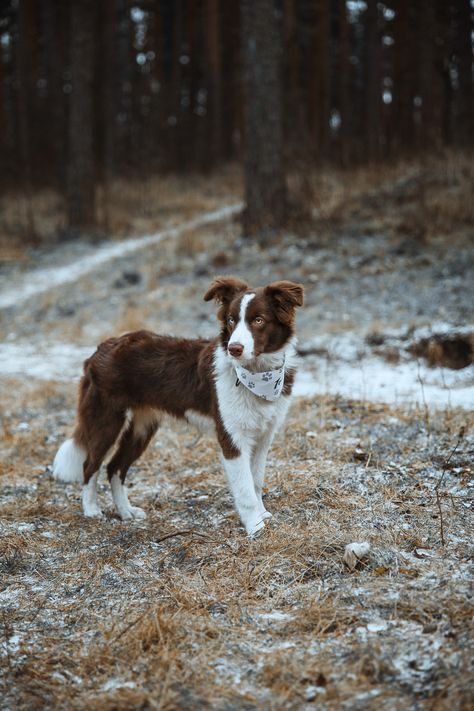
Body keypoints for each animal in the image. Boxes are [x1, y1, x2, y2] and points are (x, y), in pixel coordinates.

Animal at [52, 276, 304, 536]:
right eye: (231, 320)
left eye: (258, 320)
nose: (234, 348)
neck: (257, 375)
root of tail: (100, 348)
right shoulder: (232, 437)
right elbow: (244, 488)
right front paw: (255, 527)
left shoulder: (264, 435)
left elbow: (256, 480)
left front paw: (262, 516)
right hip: (106, 420)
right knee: (91, 464)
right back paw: (91, 509)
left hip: (142, 427)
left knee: (114, 467)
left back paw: (126, 511)